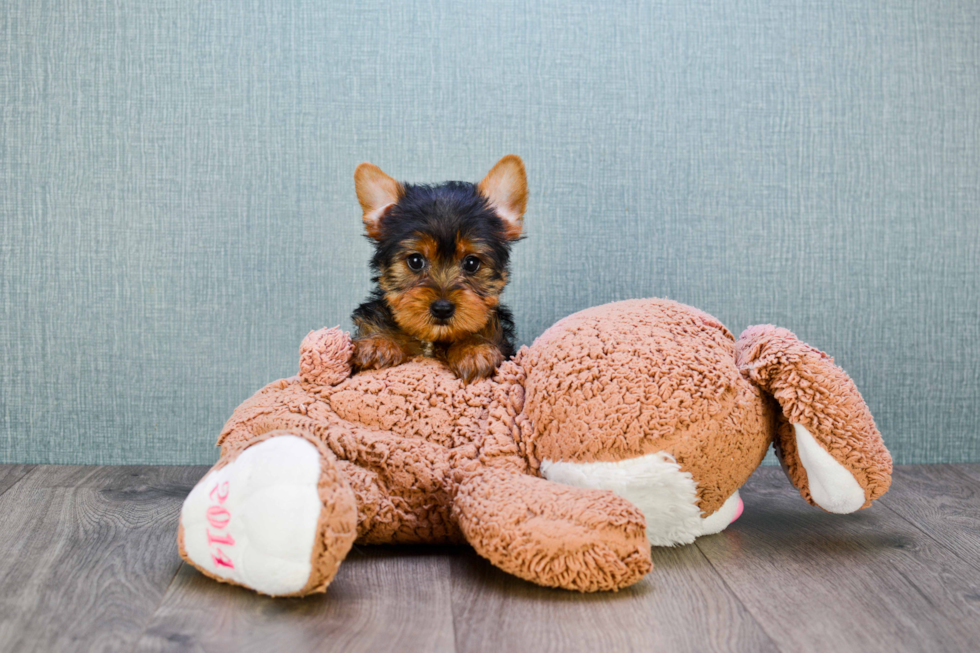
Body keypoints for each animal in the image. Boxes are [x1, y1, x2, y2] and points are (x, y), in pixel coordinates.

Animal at [348, 155, 524, 380]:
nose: (442, 308)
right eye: (415, 261)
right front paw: (378, 342)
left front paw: (474, 349)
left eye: (472, 263)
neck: (432, 340)